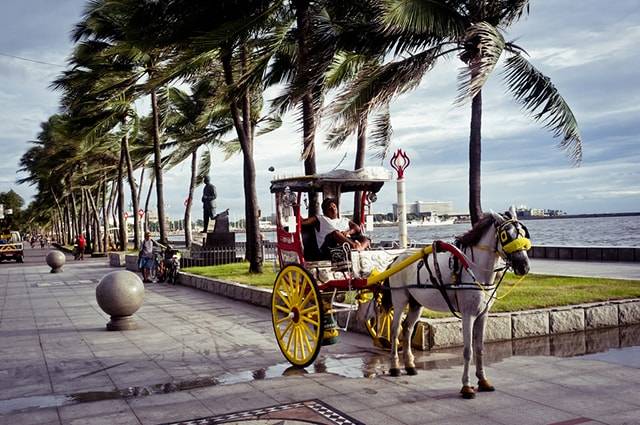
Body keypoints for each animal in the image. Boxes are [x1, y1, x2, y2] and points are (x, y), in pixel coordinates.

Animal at [384, 206, 528, 398]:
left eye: (523, 233)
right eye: (506, 235)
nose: (524, 266)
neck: (474, 269)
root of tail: (396, 259)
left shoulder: (483, 315)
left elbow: (480, 348)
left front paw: (483, 381)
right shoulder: (468, 315)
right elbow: (468, 351)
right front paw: (466, 386)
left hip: (416, 303)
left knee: (407, 329)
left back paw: (410, 365)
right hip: (400, 298)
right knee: (394, 330)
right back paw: (394, 367)